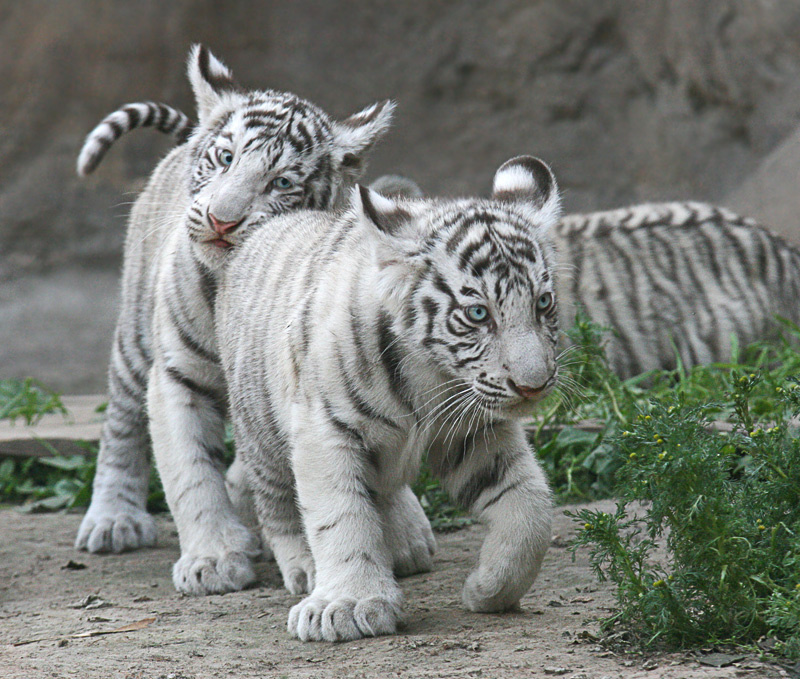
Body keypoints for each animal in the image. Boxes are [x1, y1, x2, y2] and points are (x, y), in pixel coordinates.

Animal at [73, 45, 432, 597]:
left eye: (281, 182)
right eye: (226, 158)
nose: (222, 220)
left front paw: (400, 532)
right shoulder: (177, 374)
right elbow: (191, 471)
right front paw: (213, 558)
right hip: (135, 338)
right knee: (122, 424)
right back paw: (114, 518)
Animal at [215, 155, 559, 642]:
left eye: (543, 303)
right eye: (478, 313)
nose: (534, 385)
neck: (431, 374)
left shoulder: (476, 433)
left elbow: (530, 509)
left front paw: (489, 589)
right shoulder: (325, 430)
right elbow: (340, 515)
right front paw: (347, 604)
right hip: (261, 427)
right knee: (277, 502)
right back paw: (304, 567)